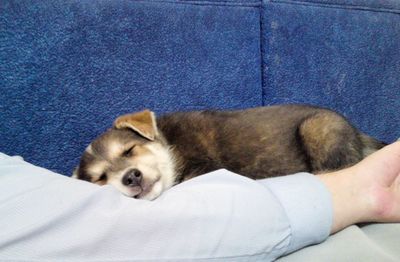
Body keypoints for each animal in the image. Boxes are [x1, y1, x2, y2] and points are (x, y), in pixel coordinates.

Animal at [73, 104, 386, 201]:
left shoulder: (206, 168)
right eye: (101, 178)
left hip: (319, 129)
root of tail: (360, 135)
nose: (131, 177)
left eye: (129, 150)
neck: (170, 144)